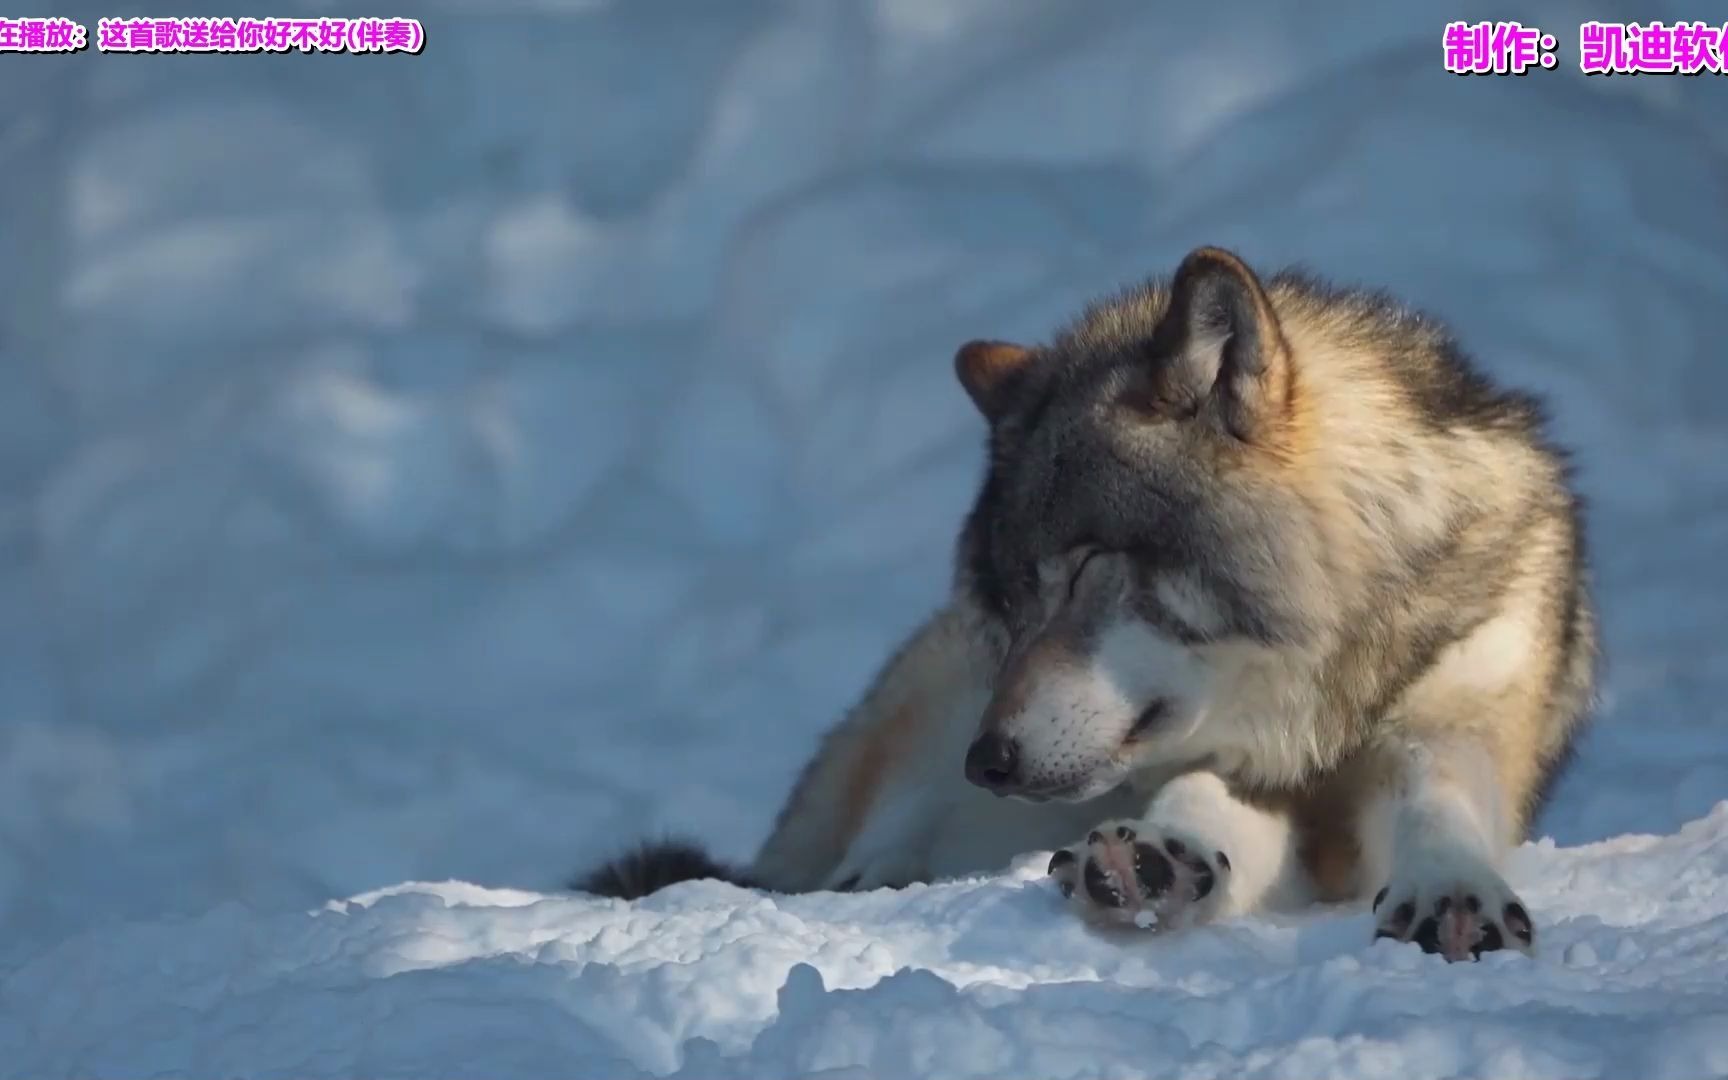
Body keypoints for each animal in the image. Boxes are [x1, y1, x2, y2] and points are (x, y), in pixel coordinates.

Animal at [580, 247, 1589, 960]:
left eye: (1084, 569)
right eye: (1015, 601)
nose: (987, 761)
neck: (1313, 703)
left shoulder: (1463, 703)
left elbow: (1440, 787)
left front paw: (1452, 892)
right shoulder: (1220, 771)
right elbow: (1199, 792)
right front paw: (1157, 856)